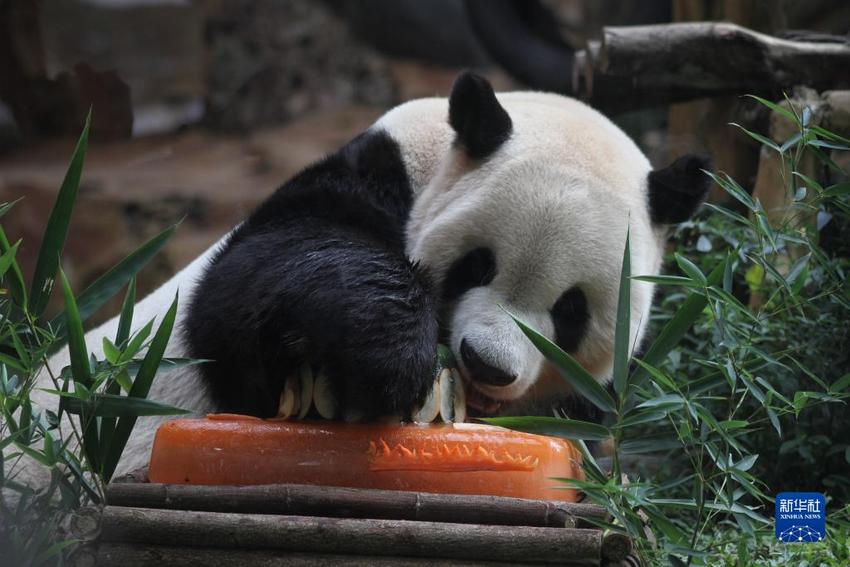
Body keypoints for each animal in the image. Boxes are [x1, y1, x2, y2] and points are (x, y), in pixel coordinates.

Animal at [31, 71, 708, 480]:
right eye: (477, 264)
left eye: (570, 310)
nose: (486, 364)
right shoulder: (373, 179)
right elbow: (248, 296)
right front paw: (391, 359)